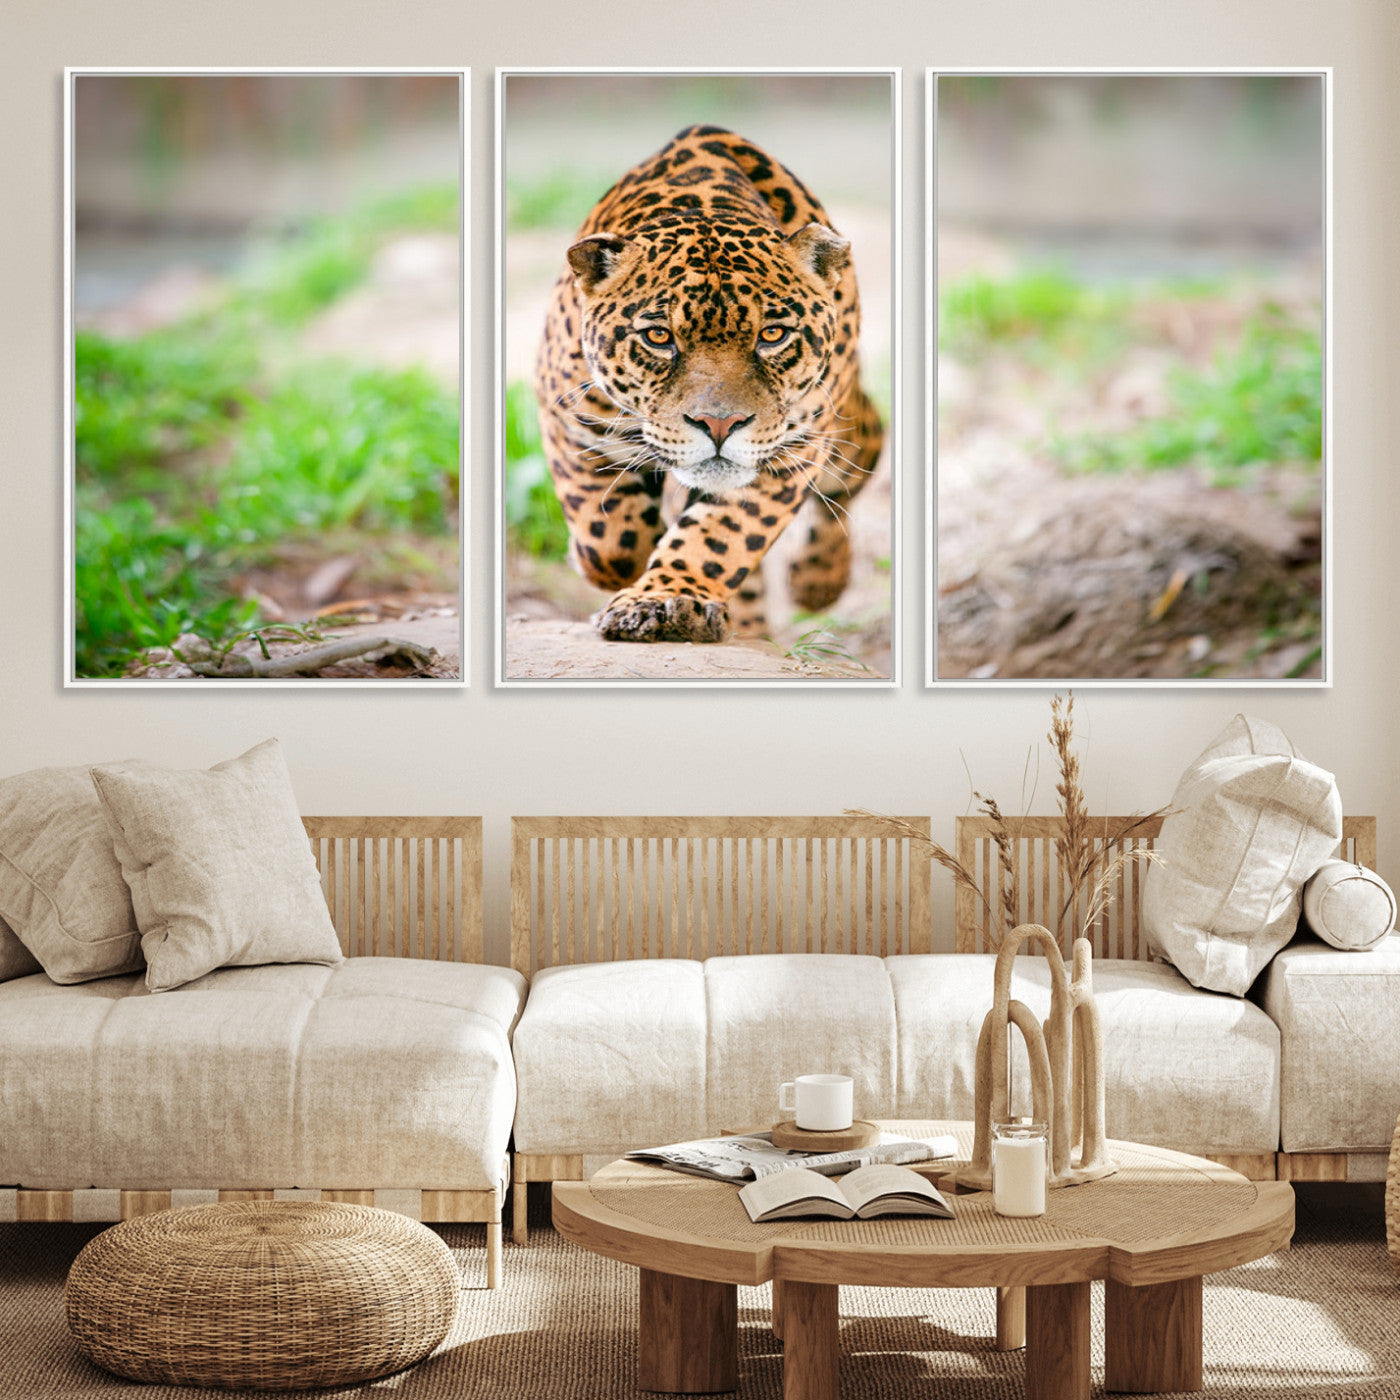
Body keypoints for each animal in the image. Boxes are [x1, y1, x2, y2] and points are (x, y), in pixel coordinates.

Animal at [532, 124, 884, 644]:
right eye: (659, 337)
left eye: (772, 335)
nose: (720, 425)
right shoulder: (571, 419)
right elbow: (609, 537)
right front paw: (615, 564)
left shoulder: (790, 451)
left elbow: (722, 535)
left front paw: (666, 600)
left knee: (858, 459)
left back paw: (817, 581)